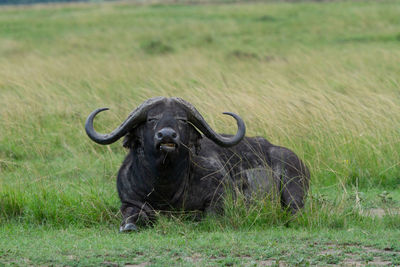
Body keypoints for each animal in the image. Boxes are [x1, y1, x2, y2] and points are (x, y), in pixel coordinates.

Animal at [85, 97, 310, 232]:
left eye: (182, 119)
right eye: (151, 119)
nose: (167, 135)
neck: (165, 186)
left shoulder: (220, 197)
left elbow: (207, 216)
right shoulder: (129, 201)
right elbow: (133, 216)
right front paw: (130, 226)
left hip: (293, 190)